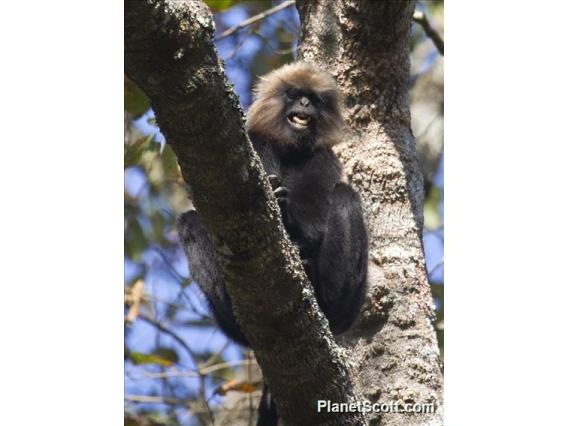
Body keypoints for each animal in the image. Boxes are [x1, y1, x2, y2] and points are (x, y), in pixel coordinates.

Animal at [178, 61, 368, 424]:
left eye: (313, 100)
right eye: (294, 95)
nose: (305, 105)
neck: (289, 150)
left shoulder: (323, 157)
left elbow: (315, 222)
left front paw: (286, 207)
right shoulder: (256, 143)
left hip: (347, 306)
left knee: (345, 195)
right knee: (189, 221)